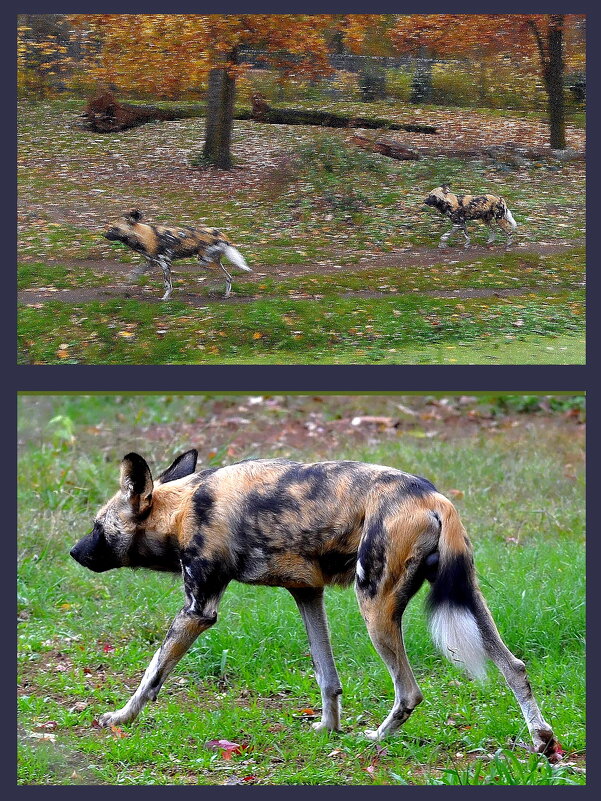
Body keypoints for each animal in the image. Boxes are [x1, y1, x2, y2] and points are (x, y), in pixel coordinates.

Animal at [70, 450, 556, 756]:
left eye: (97, 527)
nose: (74, 552)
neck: (182, 508)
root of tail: (433, 496)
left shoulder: (197, 610)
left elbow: (151, 675)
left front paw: (121, 718)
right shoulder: (307, 594)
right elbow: (328, 677)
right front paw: (327, 729)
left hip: (375, 608)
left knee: (410, 691)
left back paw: (374, 740)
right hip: (468, 600)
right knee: (514, 667)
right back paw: (542, 740)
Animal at [103, 209, 251, 300]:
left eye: (114, 229)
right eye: (108, 227)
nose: (104, 235)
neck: (141, 236)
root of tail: (222, 235)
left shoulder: (165, 264)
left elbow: (168, 285)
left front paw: (165, 298)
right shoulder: (150, 263)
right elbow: (135, 272)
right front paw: (128, 282)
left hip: (204, 261)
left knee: (221, 276)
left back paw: (215, 290)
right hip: (211, 262)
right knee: (228, 277)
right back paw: (225, 293)